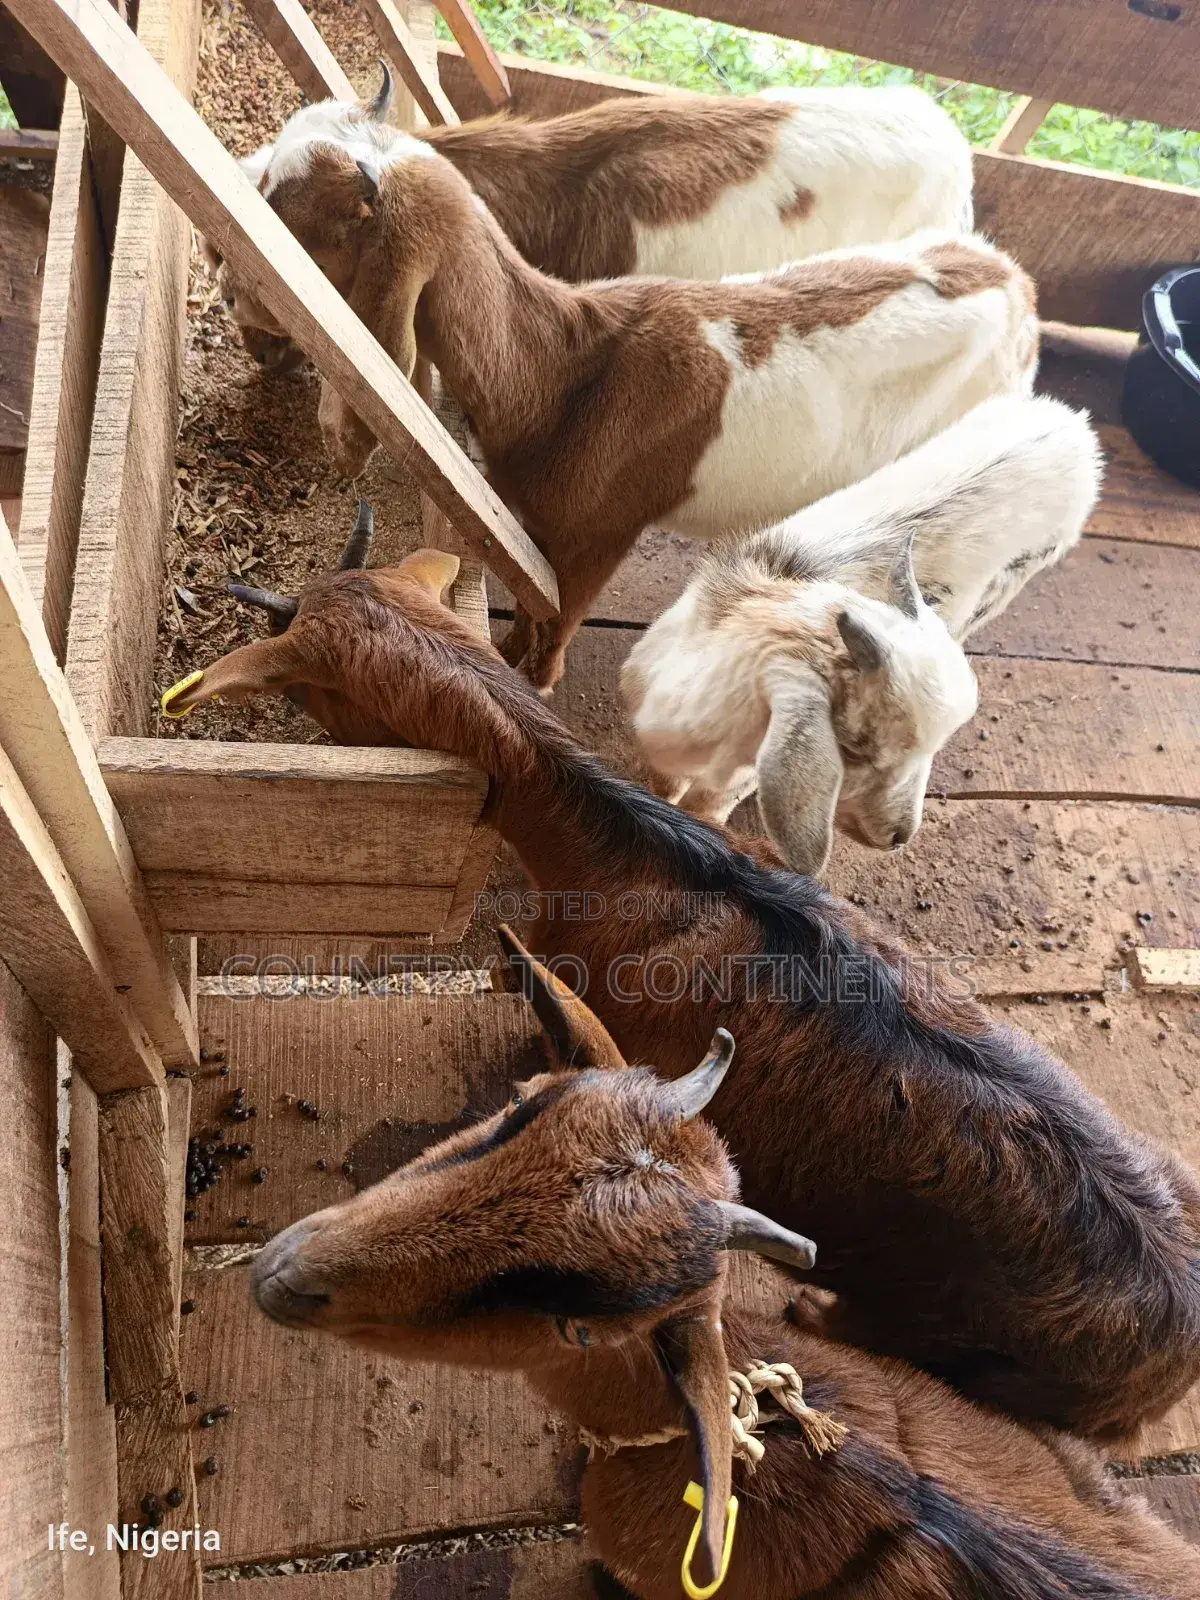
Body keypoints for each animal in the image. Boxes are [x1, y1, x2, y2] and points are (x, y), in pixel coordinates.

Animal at [241, 94, 1035, 689]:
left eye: (306, 225)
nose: (235, 291)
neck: (562, 370)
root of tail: (1019, 289)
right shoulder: (536, 522)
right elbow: (530, 606)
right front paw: (505, 652)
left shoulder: (599, 536)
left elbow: (558, 623)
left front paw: (534, 681)